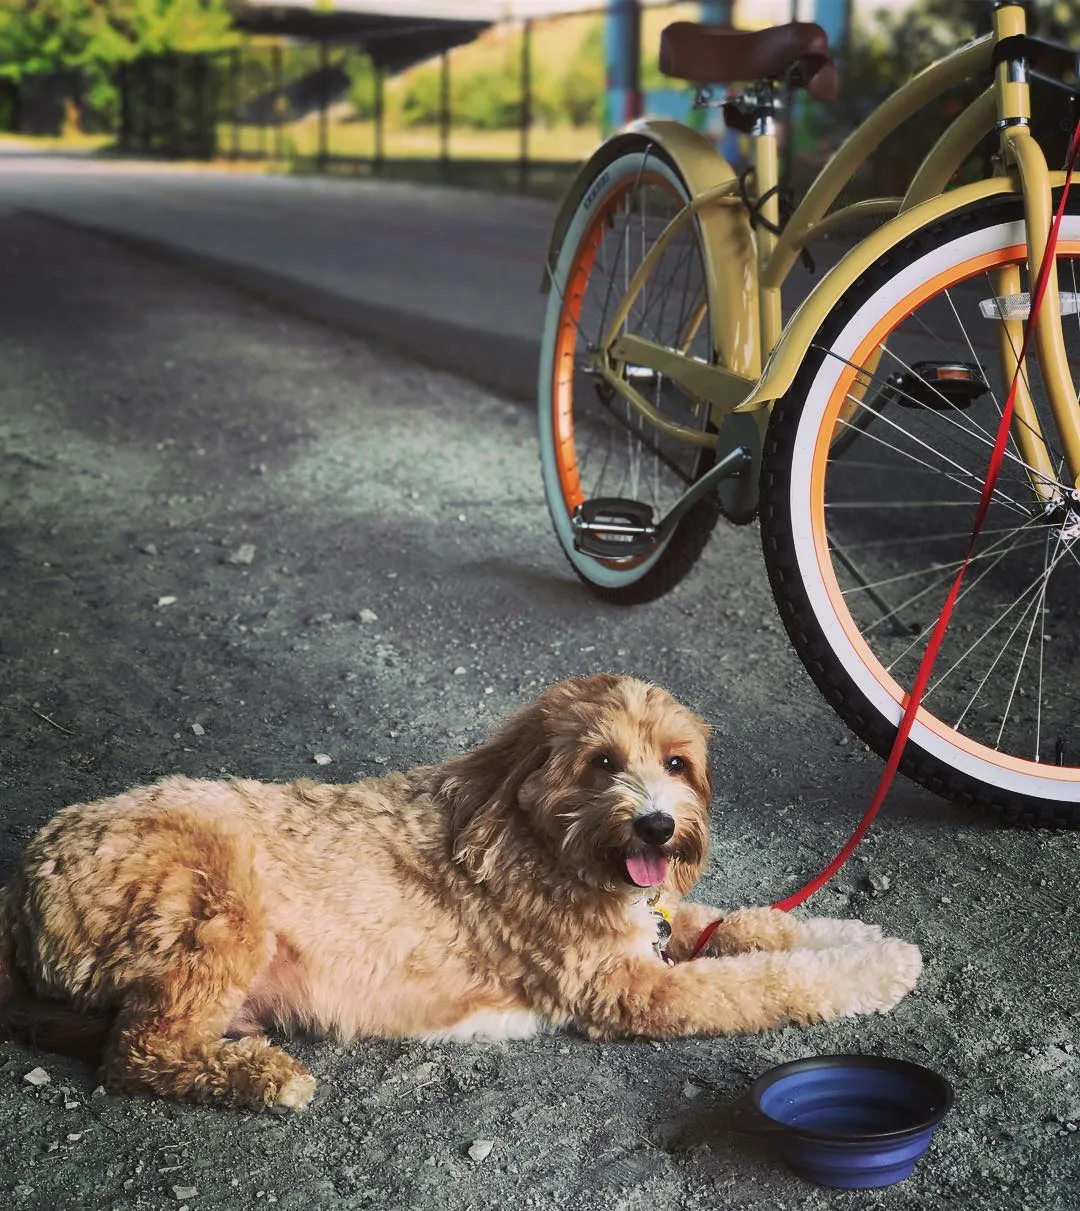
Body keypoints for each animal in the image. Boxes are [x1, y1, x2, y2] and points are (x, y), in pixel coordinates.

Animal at [0, 678, 920, 1109]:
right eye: (601, 763)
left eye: (676, 761)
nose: (658, 826)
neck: (543, 837)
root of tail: (22, 884)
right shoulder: (631, 987)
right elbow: (761, 983)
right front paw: (860, 974)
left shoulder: (656, 926)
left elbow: (746, 925)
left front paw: (864, 942)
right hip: (215, 905)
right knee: (139, 1051)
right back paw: (259, 1077)